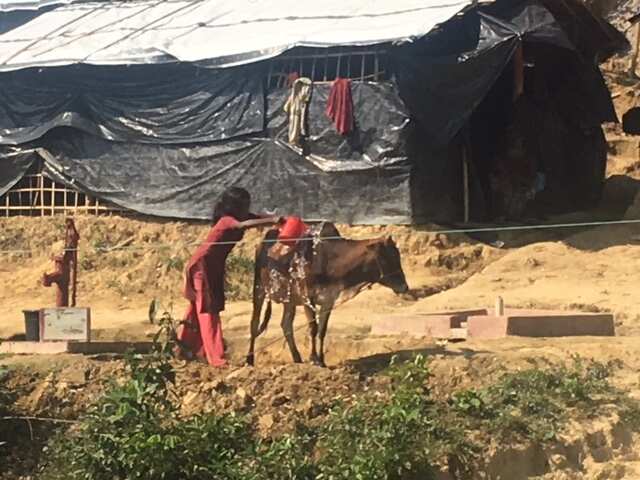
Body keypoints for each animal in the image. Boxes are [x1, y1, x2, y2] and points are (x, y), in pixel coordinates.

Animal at [246, 223, 409, 367]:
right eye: (386, 259)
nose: (404, 287)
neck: (328, 259)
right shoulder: (307, 298)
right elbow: (313, 328)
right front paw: (314, 359)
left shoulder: (328, 300)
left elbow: (322, 330)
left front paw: (321, 359)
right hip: (259, 289)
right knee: (254, 324)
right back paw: (249, 359)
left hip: (289, 300)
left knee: (286, 325)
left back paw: (297, 358)